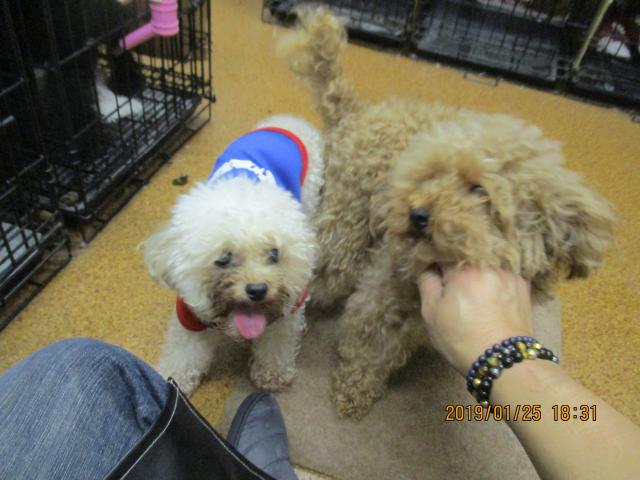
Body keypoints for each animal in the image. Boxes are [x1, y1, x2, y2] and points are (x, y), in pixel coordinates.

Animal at [144, 114, 324, 395]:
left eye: (274, 253)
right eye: (223, 258)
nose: (257, 290)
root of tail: (287, 121)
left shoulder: (287, 311)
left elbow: (276, 344)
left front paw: (272, 374)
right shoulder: (189, 313)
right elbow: (184, 352)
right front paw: (174, 377)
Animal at [278, 9, 614, 419]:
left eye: (479, 190)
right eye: (433, 172)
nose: (416, 214)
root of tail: (356, 111)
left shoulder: (422, 316)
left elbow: (383, 353)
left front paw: (359, 389)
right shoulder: (380, 300)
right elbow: (365, 344)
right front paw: (351, 392)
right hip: (344, 226)